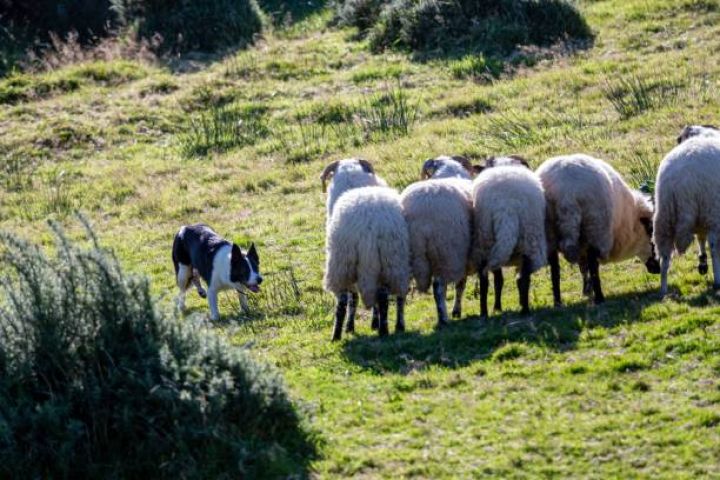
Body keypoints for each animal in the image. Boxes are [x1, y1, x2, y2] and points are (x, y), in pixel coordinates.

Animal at [320, 159, 410, 340]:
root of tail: (368, 225)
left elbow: (353, 298)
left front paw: (351, 326)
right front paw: (372, 323)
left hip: (342, 263)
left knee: (343, 300)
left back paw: (336, 335)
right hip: (392, 261)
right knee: (389, 297)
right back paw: (390, 328)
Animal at [472, 156, 544, 316]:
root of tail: (506, 206)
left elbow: (499, 280)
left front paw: (497, 307)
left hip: (486, 242)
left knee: (485, 280)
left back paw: (485, 312)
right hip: (526, 240)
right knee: (523, 278)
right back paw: (525, 309)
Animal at [536, 154, 660, 306]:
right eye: (652, 238)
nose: (657, 270)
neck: (629, 220)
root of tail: (566, 195)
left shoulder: (582, 244)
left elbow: (582, 266)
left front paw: (586, 289)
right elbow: (589, 266)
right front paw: (590, 290)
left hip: (550, 232)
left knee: (555, 269)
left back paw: (558, 302)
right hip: (595, 228)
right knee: (593, 265)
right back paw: (600, 298)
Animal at [656, 131, 720, 296]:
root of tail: (680, 181)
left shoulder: (700, 221)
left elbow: (701, 239)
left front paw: (702, 263)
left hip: (664, 217)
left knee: (664, 256)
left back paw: (663, 289)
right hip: (712, 211)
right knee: (714, 247)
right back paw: (718, 281)